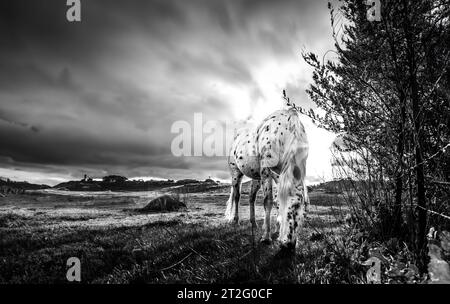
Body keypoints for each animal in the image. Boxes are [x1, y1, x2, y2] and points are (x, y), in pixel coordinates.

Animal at [225, 108, 310, 251]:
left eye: (300, 208)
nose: (290, 245)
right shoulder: (267, 171)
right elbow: (268, 201)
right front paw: (266, 237)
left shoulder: (278, 175)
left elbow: (276, 200)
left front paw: (276, 226)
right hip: (236, 173)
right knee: (237, 196)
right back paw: (236, 220)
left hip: (257, 178)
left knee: (251, 198)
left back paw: (253, 223)